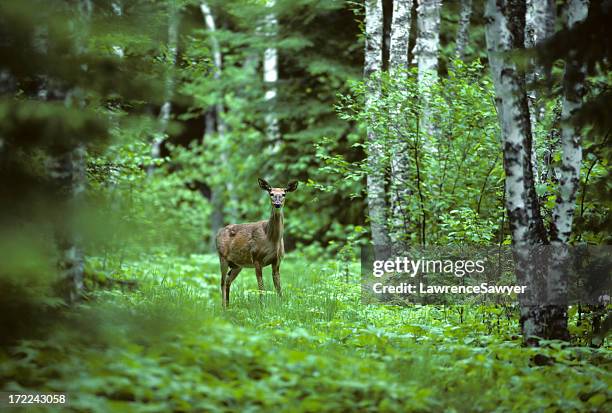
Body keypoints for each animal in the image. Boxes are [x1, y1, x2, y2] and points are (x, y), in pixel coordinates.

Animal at [215, 175, 298, 308]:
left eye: (284, 194)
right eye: (271, 193)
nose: (277, 204)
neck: (271, 238)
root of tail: (218, 233)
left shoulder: (277, 260)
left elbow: (278, 287)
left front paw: (282, 305)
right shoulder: (256, 258)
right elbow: (261, 287)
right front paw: (262, 306)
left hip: (237, 265)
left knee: (228, 280)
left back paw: (228, 306)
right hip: (222, 257)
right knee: (222, 282)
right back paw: (223, 307)